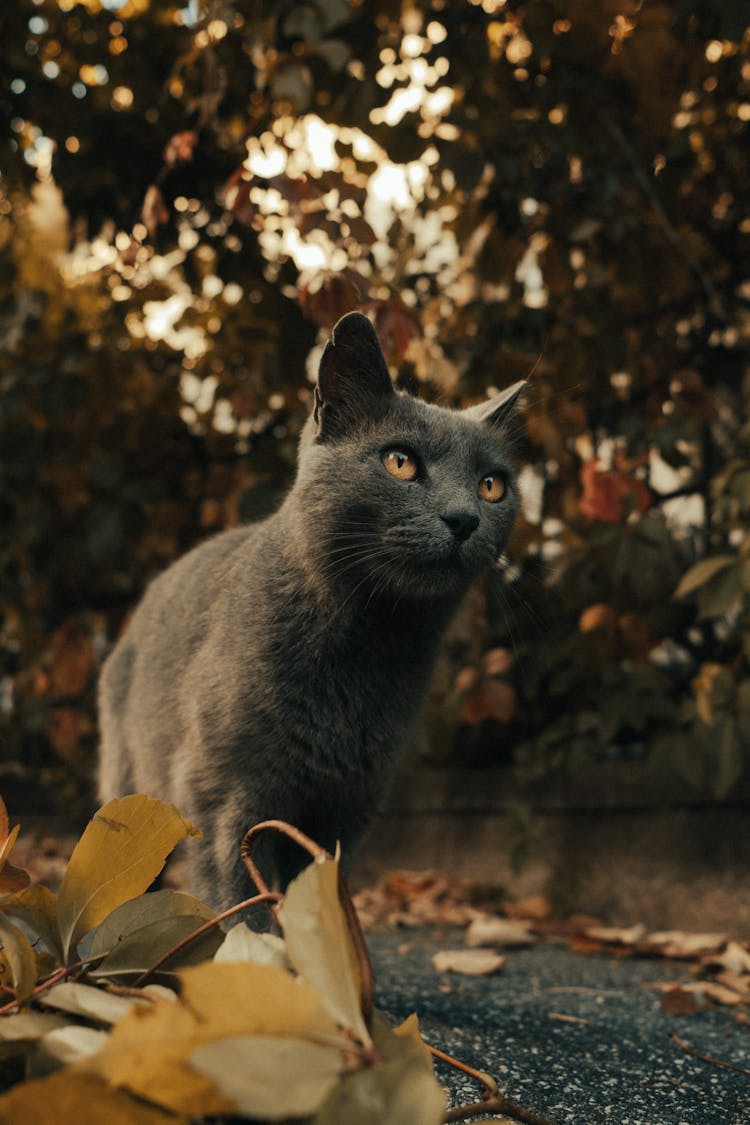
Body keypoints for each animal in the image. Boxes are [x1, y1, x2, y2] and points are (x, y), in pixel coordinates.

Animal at [96, 312, 526, 909]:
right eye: (400, 462)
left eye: (492, 485)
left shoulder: (348, 806)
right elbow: (237, 899)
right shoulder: (220, 795)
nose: (464, 517)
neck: (370, 647)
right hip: (130, 782)